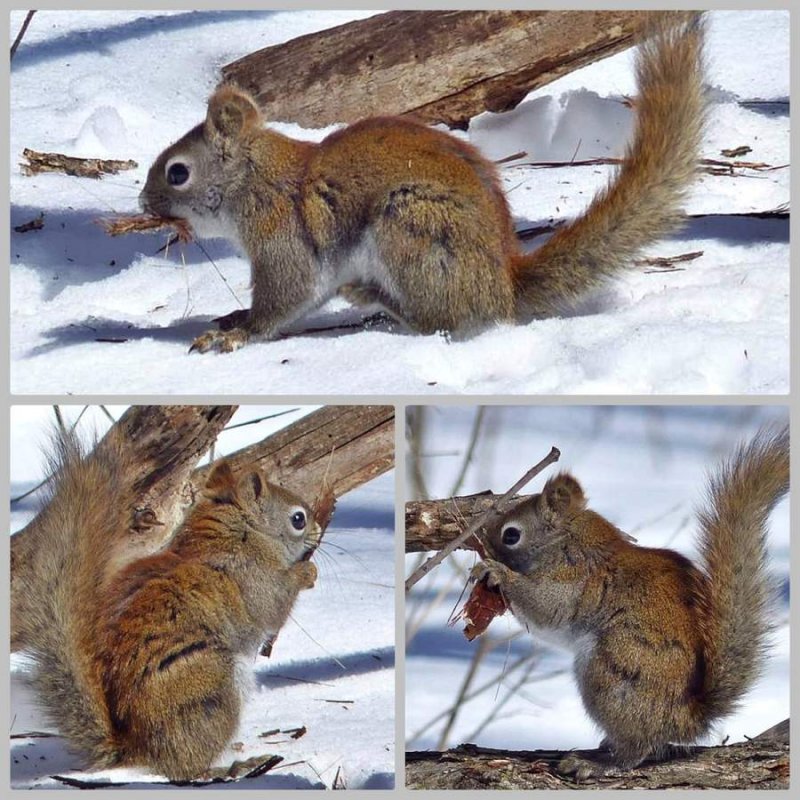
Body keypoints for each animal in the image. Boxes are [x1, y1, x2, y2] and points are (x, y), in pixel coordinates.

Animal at [17, 434, 322, 780]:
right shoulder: (251, 576)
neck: (237, 535)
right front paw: (306, 573)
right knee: (183, 768)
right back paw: (228, 767)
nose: (318, 530)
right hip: (208, 689)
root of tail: (135, 747)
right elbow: (273, 606)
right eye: (298, 519)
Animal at [139, 10, 708, 354]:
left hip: (410, 224)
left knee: (439, 321)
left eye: (177, 172)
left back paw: (377, 298)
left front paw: (238, 334)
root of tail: (501, 286)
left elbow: (288, 294)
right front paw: (232, 318)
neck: (255, 181)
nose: (144, 202)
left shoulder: (284, 237)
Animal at [472, 428, 792, 780]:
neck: (567, 541)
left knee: (638, 748)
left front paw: (497, 572)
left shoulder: (573, 579)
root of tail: (687, 718)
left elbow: (547, 606)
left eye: (511, 535)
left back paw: (598, 763)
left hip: (612, 674)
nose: (482, 543)